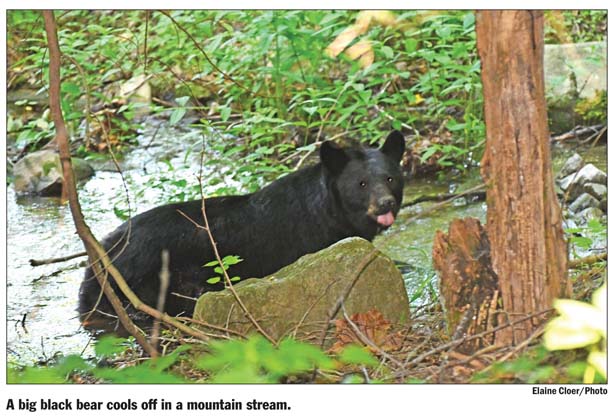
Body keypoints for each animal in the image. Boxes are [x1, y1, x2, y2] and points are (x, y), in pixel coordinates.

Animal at [78, 130, 405, 329]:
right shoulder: (314, 243)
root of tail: (101, 254)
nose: (386, 204)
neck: (329, 211)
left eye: (390, 178)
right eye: (361, 184)